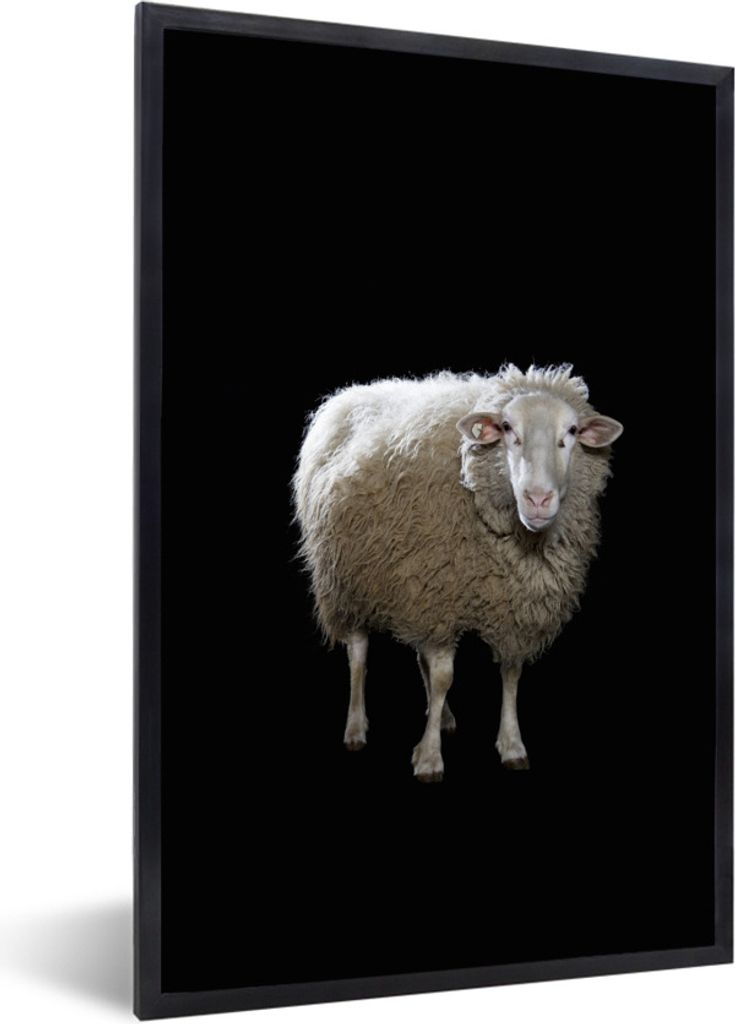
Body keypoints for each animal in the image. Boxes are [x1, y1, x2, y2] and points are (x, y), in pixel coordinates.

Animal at [292, 364, 623, 782]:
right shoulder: (439, 596)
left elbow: (510, 673)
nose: (538, 499)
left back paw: (444, 716)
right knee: (359, 654)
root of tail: (347, 395)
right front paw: (430, 757)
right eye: (508, 429)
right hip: (344, 578)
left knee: (418, 657)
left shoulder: (503, 605)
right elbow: (442, 677)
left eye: (573, 432)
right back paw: (355, 727)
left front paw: (512, 744)